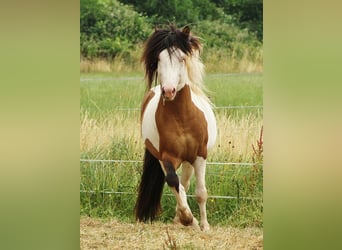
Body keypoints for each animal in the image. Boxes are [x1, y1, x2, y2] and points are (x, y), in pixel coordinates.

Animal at [134, 24, 216, 231]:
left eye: (181, 58)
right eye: (158, 59)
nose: (169, 91)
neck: (182, 119)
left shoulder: (200, 155)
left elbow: (201, 192)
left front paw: (204, 226)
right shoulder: (166, 157)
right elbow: (173, 182)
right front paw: (187, 218)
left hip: (189, 160)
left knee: (187, 184)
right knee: (180, 185)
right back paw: (180, 218)